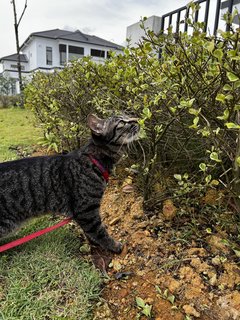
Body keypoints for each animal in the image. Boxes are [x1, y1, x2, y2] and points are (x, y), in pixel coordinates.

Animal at [0, 114, 140, 252]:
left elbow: (89, 233)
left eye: (128, 116)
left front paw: (93, 243)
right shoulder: (86, 210)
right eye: (122, 122)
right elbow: (99, 232)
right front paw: (113, 246)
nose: (137, 119)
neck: (94, 159)